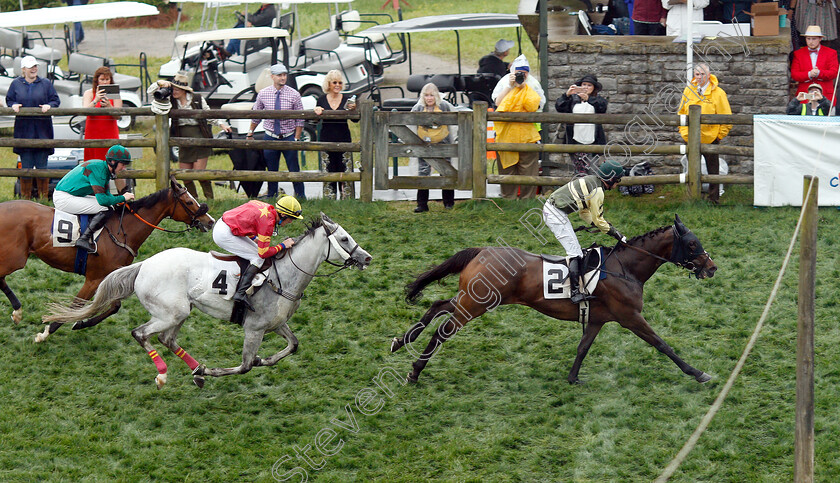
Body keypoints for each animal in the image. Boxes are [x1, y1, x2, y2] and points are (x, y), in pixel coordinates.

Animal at [0, 176, 213, 342]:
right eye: (189, 202)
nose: (210, 221)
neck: (123, 230)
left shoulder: (111, 276)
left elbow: (114, 306)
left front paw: (80, 323)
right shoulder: (94, 278)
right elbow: (77, 304)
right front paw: (46, 332)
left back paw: (17, 312)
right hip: (15, 258)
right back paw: (18, 312)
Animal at [392, 216, 716, 386]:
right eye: (691, 244)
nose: (711, 268)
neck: (625, 268)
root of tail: (483, 251)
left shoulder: (598, 319)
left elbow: (583, 347)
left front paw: (572, 378)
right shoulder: (631, 317)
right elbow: (662, 344)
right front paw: (698, 373)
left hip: (474, 299)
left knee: (438, 305)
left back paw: (401, 340)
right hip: (475, 304)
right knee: (442, 331)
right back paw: (415, 370)